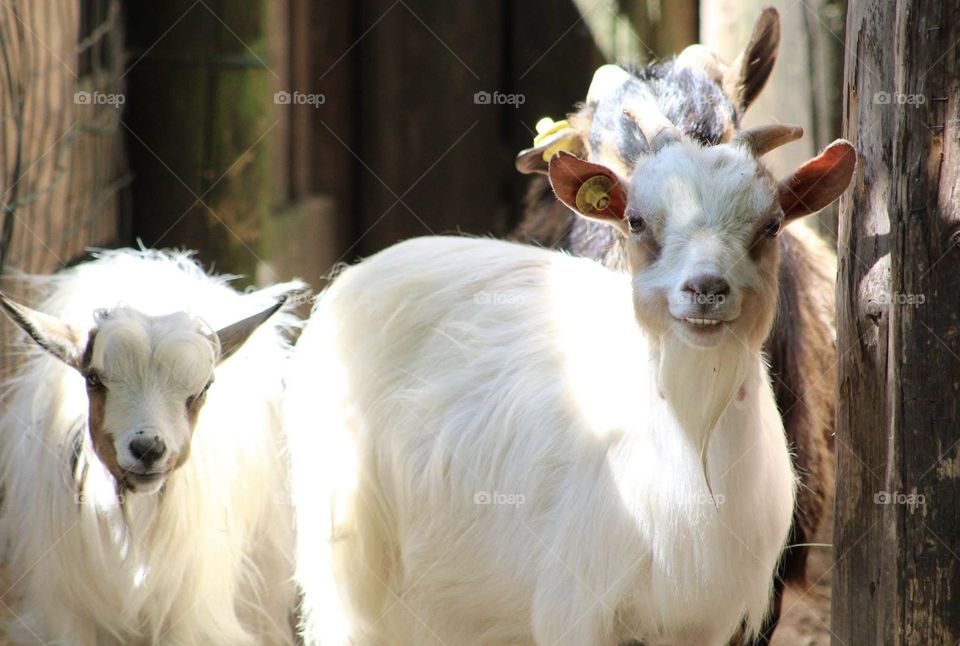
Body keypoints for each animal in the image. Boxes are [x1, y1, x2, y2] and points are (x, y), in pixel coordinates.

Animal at [287, 118, 855, 645]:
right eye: (636, 220)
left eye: (772, 224)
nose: (706, 289)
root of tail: (366, 268)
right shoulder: (576, 612)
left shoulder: (702, 625)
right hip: (349, 578)